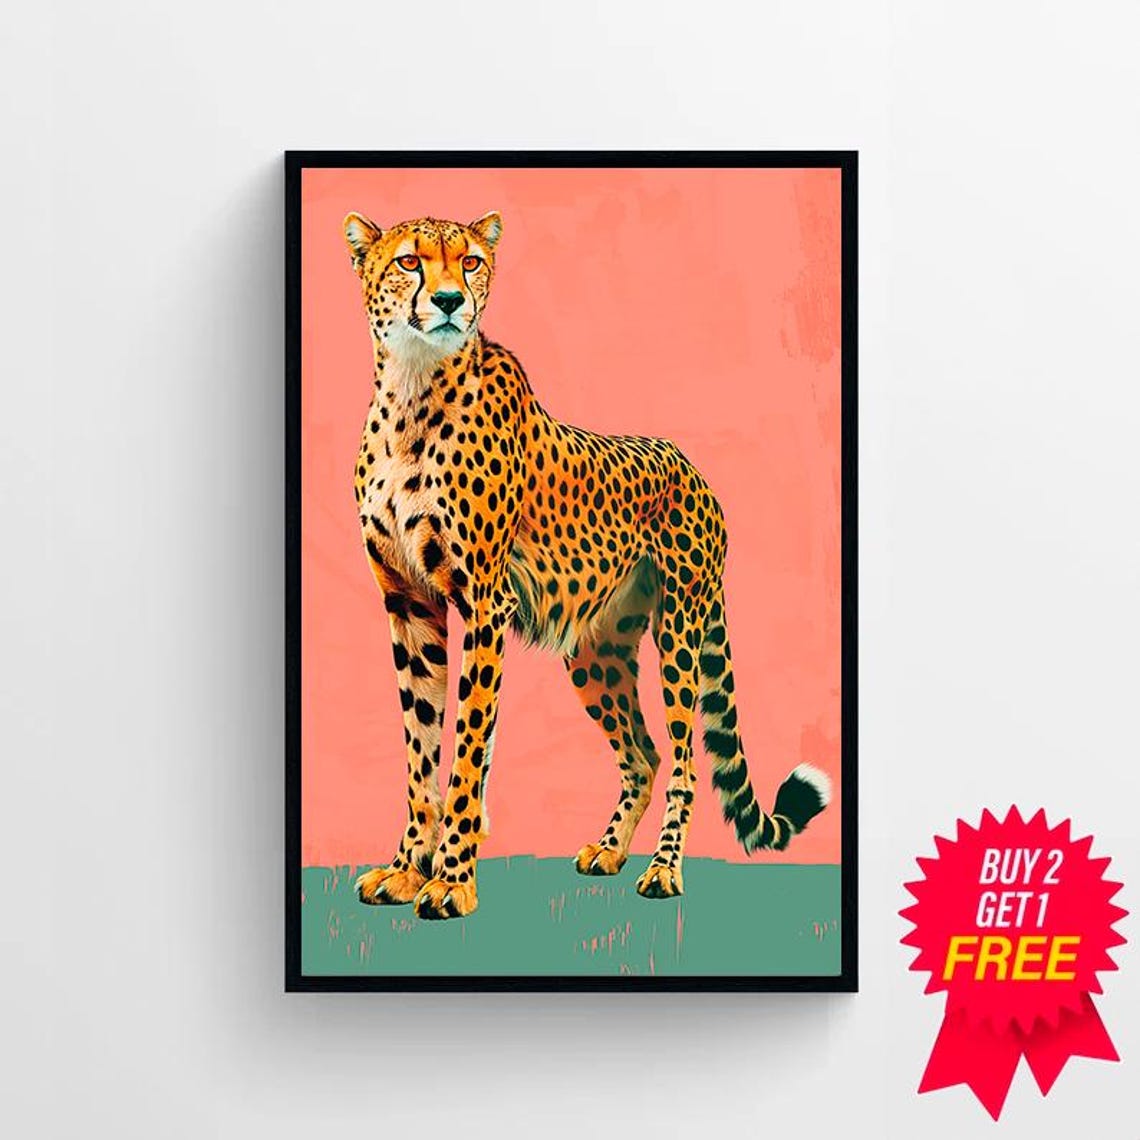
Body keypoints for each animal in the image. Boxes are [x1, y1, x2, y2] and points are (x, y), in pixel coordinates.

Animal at [343, 208, 830, 920]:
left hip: (680, 630)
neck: (412, 389)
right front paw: (408, 868)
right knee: (644, 754)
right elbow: (420, 748)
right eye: (410, 261)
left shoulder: (487, 605)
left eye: (470, 262)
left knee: (683, 760)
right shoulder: (410, 605)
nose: (451, 301)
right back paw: (608, 850)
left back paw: (662, 871)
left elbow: (466, 751)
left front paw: (452, 880)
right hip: (595, 652)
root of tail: (690, 464)